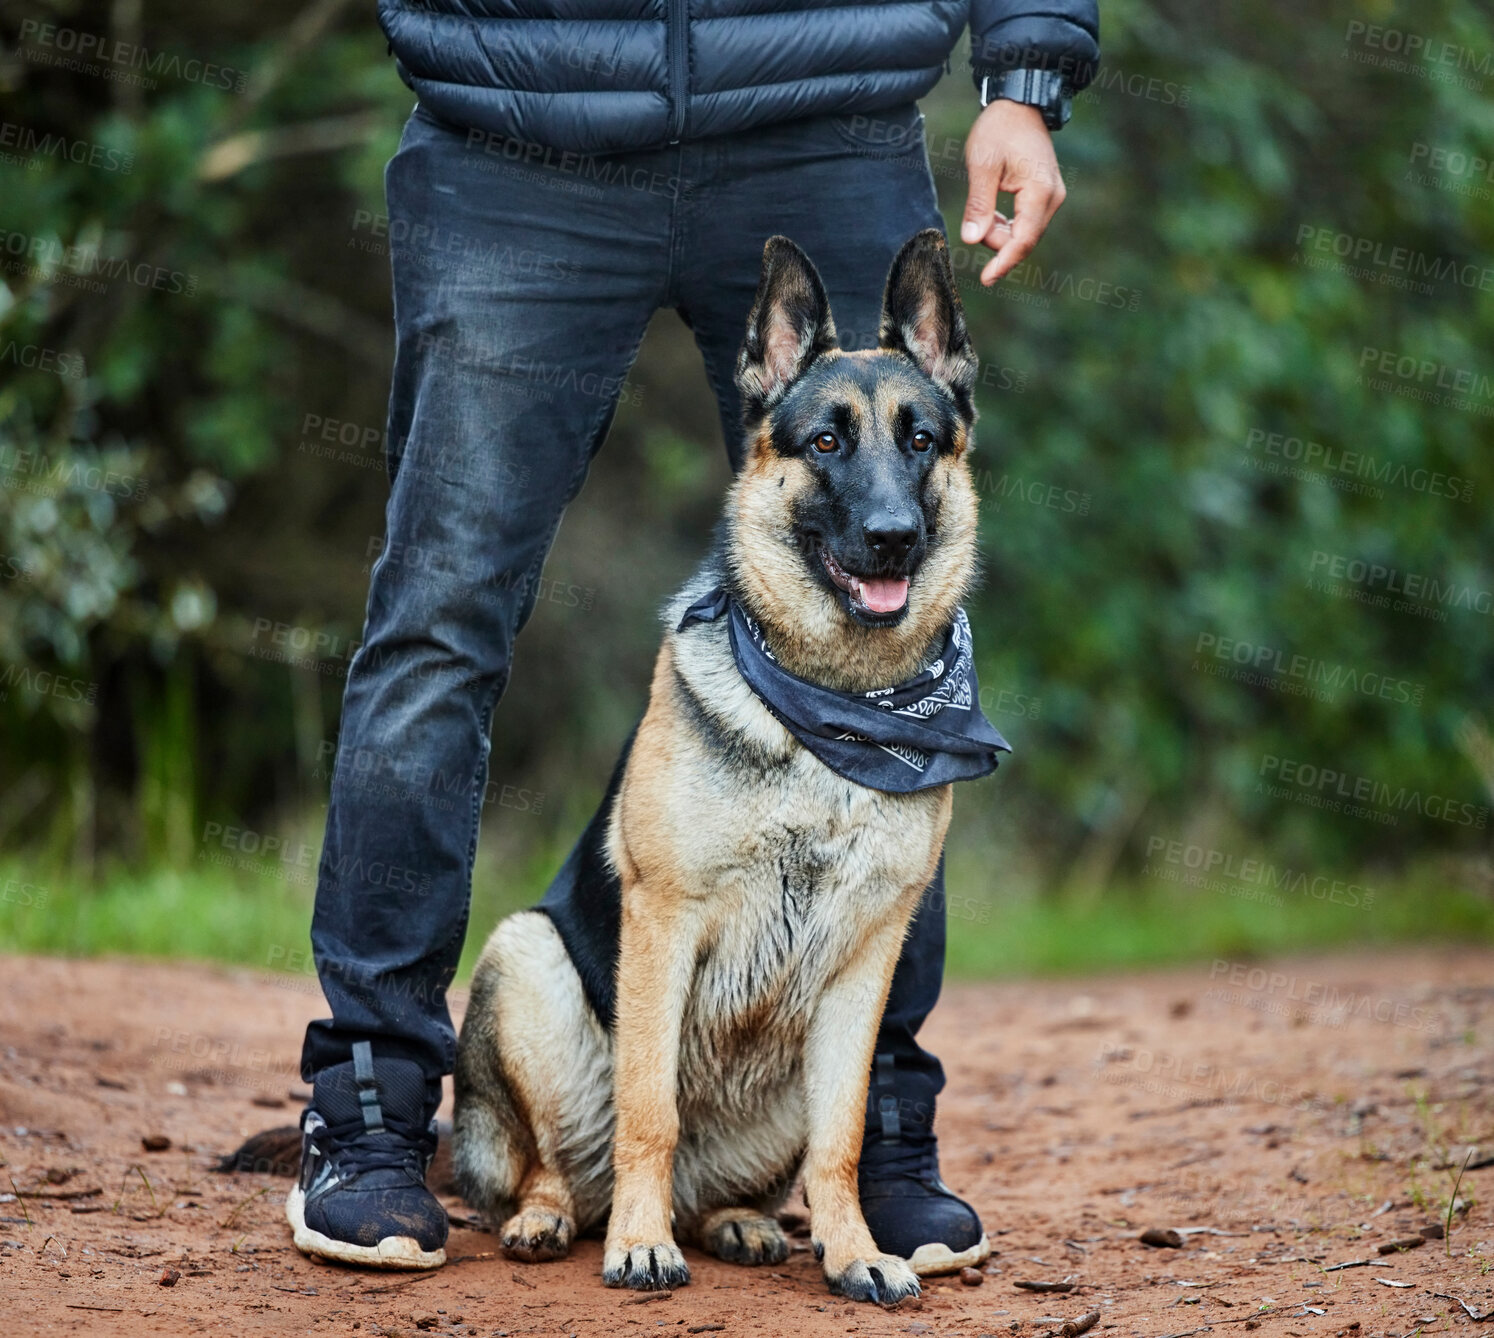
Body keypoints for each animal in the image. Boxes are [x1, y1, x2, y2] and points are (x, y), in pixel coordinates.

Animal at [460, 232, 986, 1308]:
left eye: (920, 441)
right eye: (825, 444)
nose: (894, 539)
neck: (836, 711)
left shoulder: (866, 961)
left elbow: (842, 1137)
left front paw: (856, 1251)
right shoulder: (665, 923)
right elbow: (650, 1110)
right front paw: (639, 1245)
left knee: (732, 1183)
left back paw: (738, 1222)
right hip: (527, 959)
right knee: (555, 1165)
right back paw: (556, 1219)